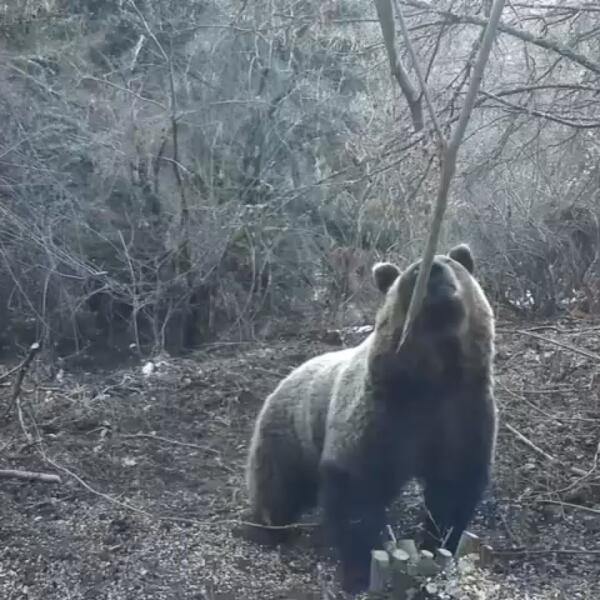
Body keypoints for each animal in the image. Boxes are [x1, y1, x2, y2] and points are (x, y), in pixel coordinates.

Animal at [244, 244, 497, 593]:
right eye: (411, 271)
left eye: (448, 262)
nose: (429, 271)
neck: (432, 373)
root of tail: (289, 374)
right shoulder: (381, 414)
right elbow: (355, 486)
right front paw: (359, 570)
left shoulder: (461, 411)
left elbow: (453, 486)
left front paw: (437, 544)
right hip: (290, 434)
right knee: (277, 487)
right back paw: (268, 528)